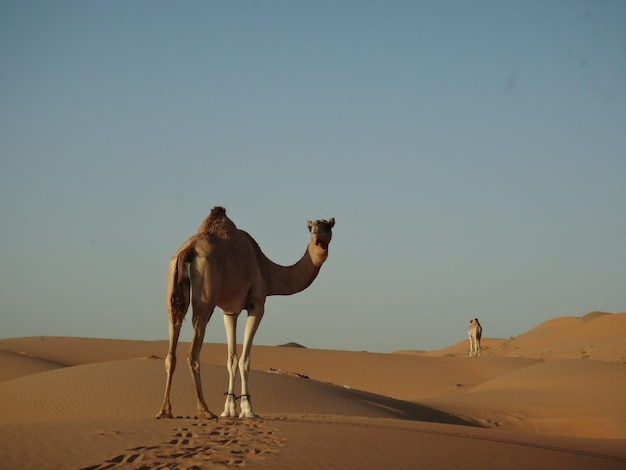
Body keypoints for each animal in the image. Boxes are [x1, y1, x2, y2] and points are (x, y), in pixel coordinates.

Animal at [155, 206, 334, 418]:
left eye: (326, 226)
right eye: (311, 227)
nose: (316, 234)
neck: (267, 270)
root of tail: (187, 250)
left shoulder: (229, 312)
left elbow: (231, 359)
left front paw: (229, 410)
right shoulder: (257, 305)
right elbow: (244, 360)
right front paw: (248, 410)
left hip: (172, 289)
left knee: (172, 344)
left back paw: (165, 410)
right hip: (205, 301)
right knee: (193, 354)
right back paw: (205, 410)